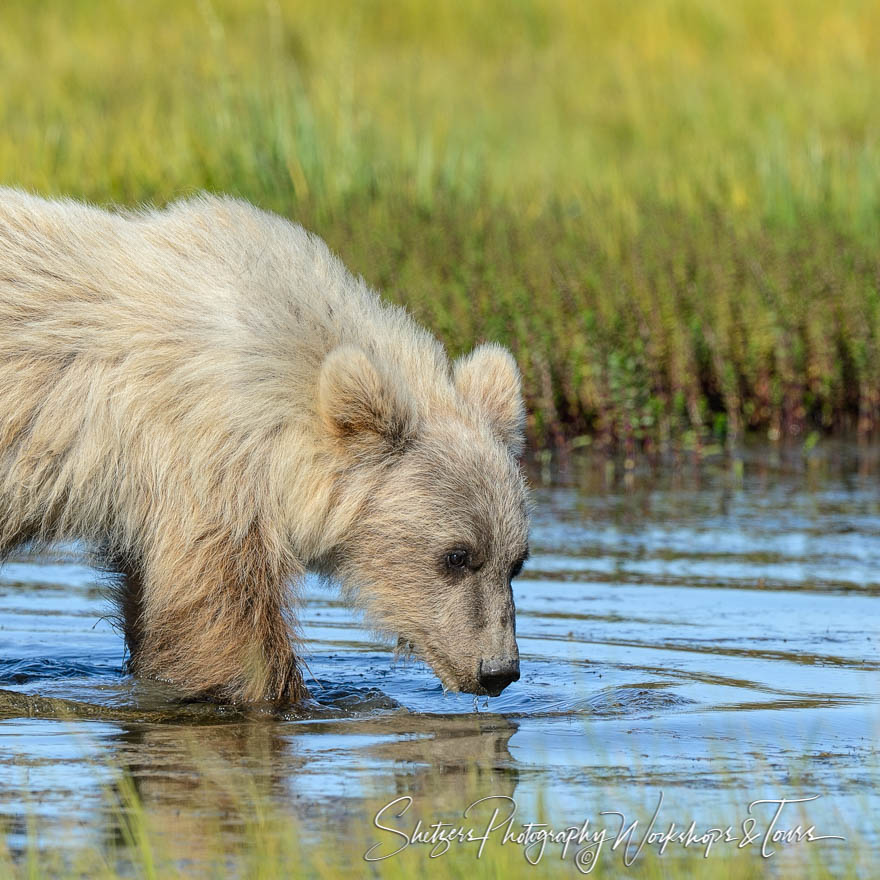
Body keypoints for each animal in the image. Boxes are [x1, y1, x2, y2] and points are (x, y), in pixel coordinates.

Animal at [0, 189, 528, 704]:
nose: (498, 671)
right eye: (456, 555)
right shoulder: (202, 451)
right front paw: (281, 694)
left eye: (516, 562)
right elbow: (226, 617)